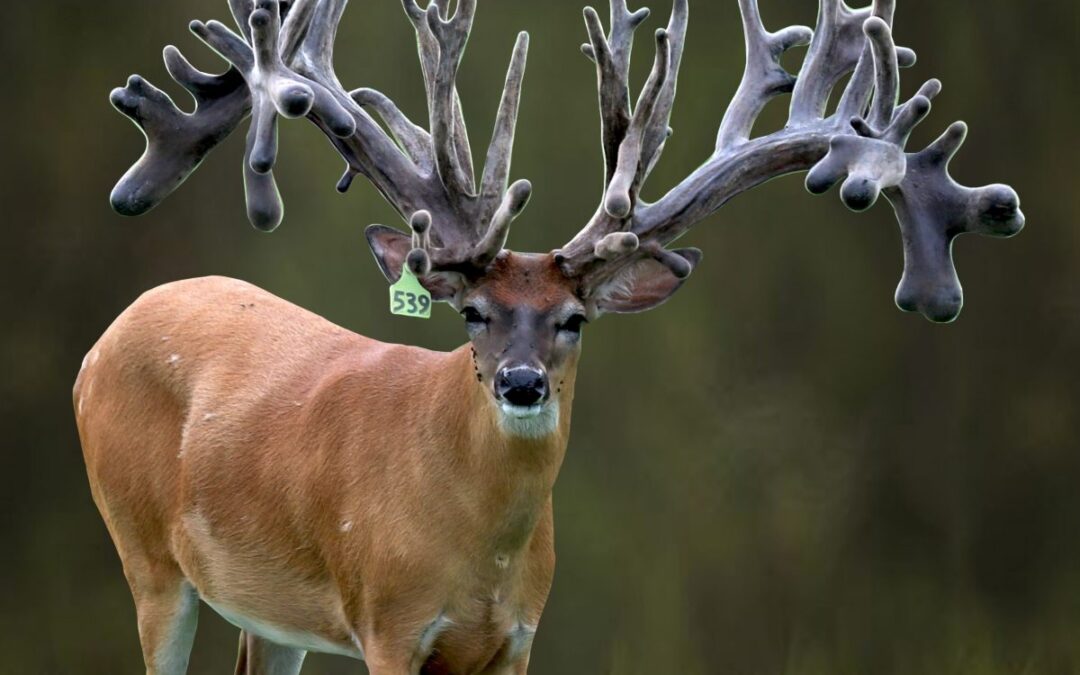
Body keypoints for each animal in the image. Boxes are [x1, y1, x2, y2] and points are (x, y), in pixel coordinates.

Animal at [77, 0, 1024, 673]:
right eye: (472, 312)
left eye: (574, 319)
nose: (522, 382)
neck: (477, 551)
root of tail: (102, 340)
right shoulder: (387, 619)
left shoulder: (516, 639)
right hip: (146, 555)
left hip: (271, 615)